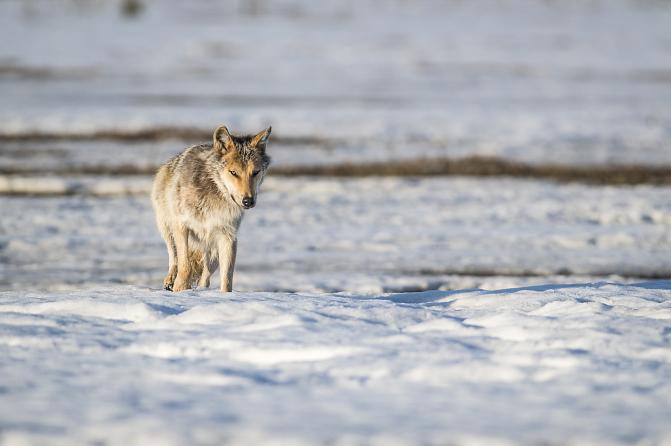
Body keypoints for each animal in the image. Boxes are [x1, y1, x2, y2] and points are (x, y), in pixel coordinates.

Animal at [151, 125, 271, 292]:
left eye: (255, 172)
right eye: (233, 172)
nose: (248, 201)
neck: (213, 194)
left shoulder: (228, 237)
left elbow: (227, 279)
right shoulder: (181, 226)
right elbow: (185, 265)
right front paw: (180, 289)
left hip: (213, 251)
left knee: (205, 278)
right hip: (166, 228)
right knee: (174, 257)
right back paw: (170, 281)